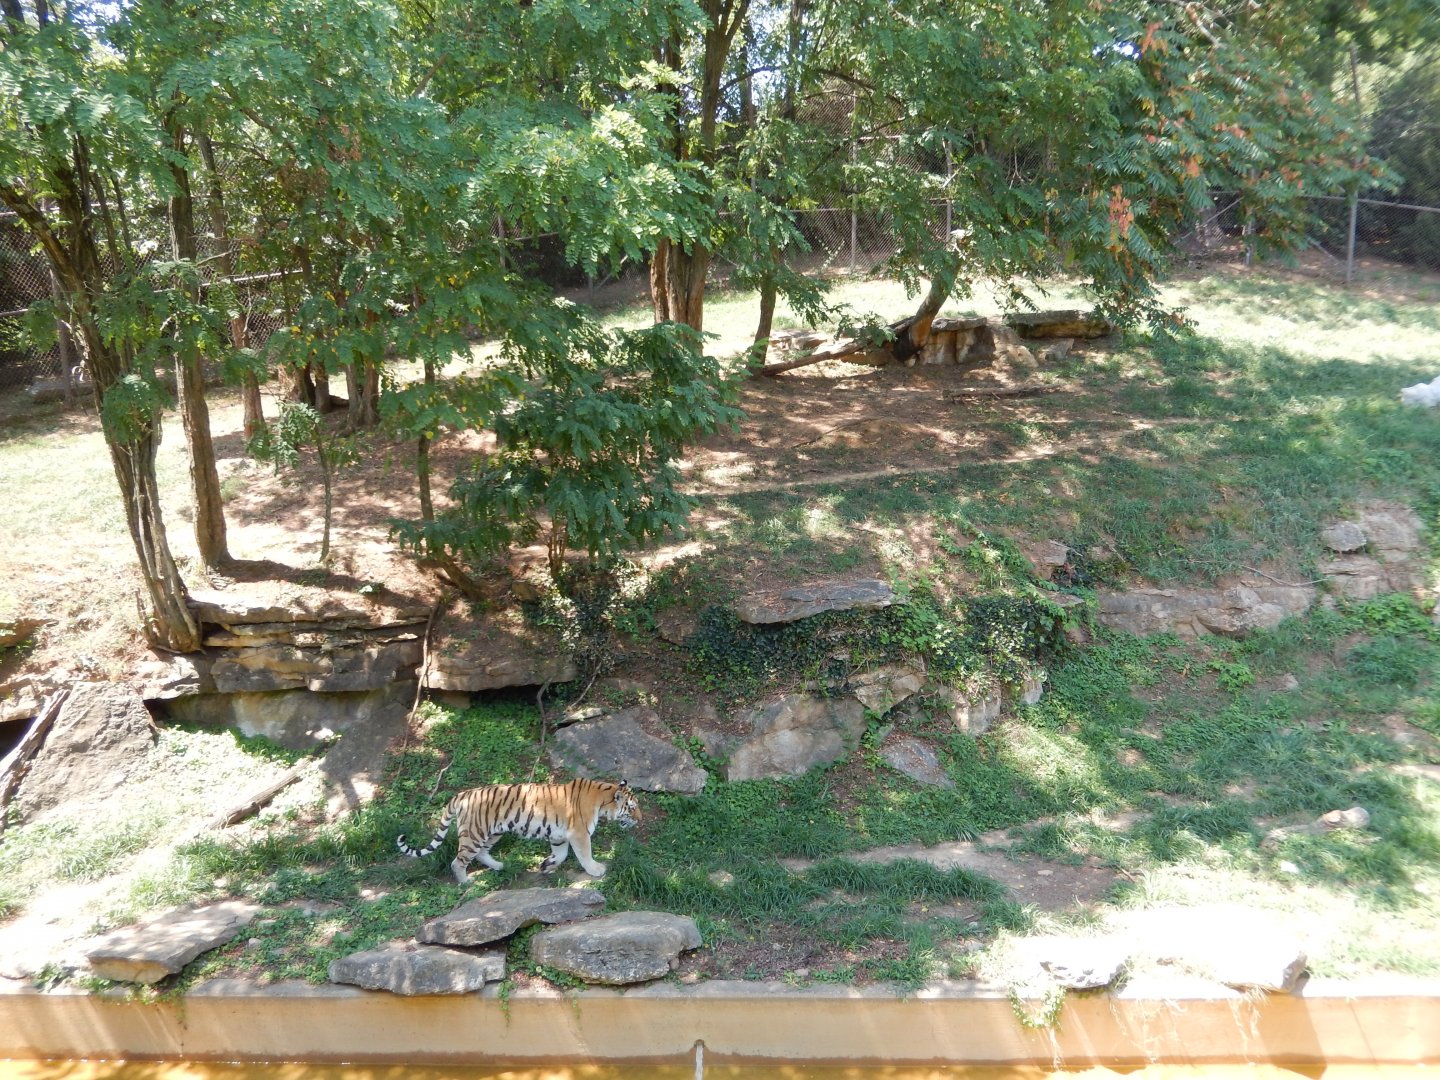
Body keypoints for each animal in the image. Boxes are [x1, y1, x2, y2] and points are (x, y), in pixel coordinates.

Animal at [396, 778, 641, 884]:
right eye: (632, 808)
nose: (640, 820)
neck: (602, 799)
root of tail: (462, 794)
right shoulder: (578, 834)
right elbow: (585, 854)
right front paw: (596, 869)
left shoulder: (559, 836)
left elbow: (561, 855)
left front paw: (546, 866)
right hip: (474, 834)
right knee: (458, 861)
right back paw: (466, 882)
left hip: (493, 832)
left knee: (482, 853)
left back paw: (499, 866)